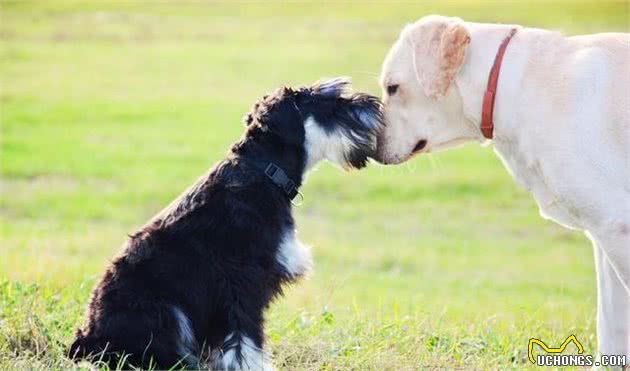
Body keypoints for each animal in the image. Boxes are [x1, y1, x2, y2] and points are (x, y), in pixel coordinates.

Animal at [69, 77, 386, 370]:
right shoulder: (240, 282)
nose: (375, 105)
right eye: (329, 103)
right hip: (164, 312)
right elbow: (243, 339)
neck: (264, 172)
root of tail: (85, 341)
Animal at [378, 16, 628, 362]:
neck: (514, 86)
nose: (371, 145)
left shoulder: (616, 228)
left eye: (393, 87)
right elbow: (611, 329)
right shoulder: (604, 235)